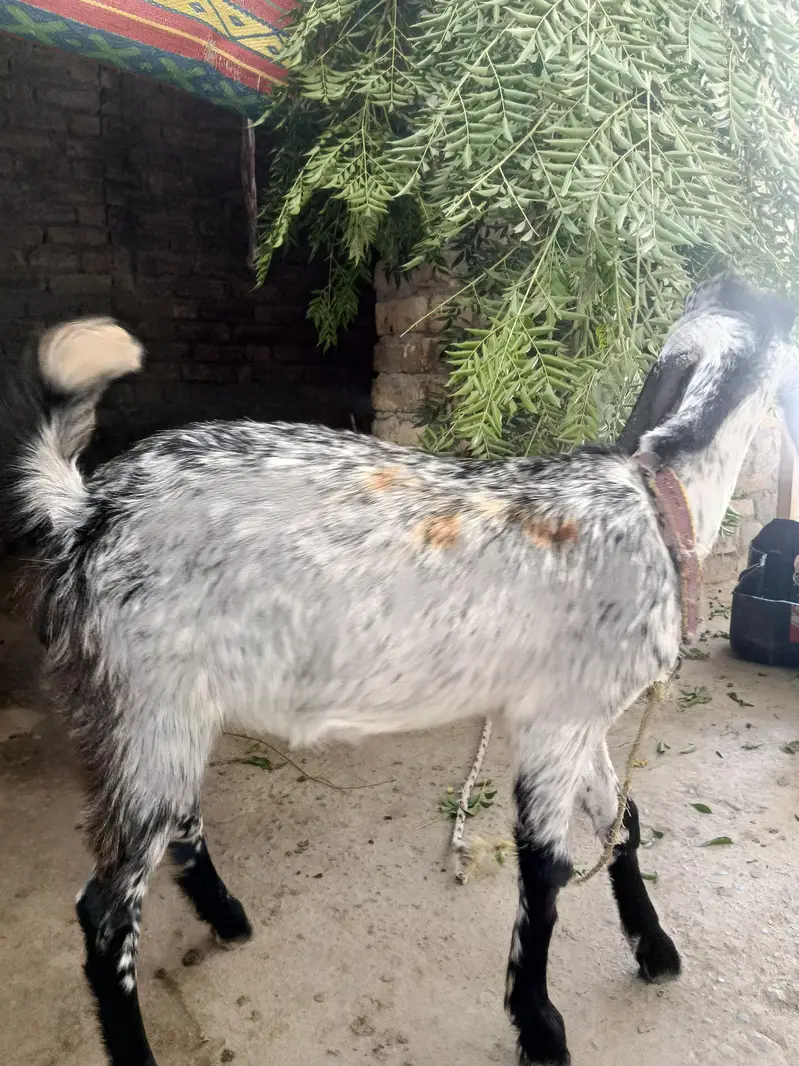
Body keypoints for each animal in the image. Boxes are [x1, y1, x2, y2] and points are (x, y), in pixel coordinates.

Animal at [3, 277, 797, 1066]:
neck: (657, 513)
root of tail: (87, 509)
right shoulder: (556, 722)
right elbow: (546, 869)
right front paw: (539, 1026)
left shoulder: (580, 716)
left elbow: (622, 822)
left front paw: (655, 951)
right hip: (144, 700)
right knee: (107, 913)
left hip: (173, 706)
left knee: (178, 818)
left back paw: (228, 917)